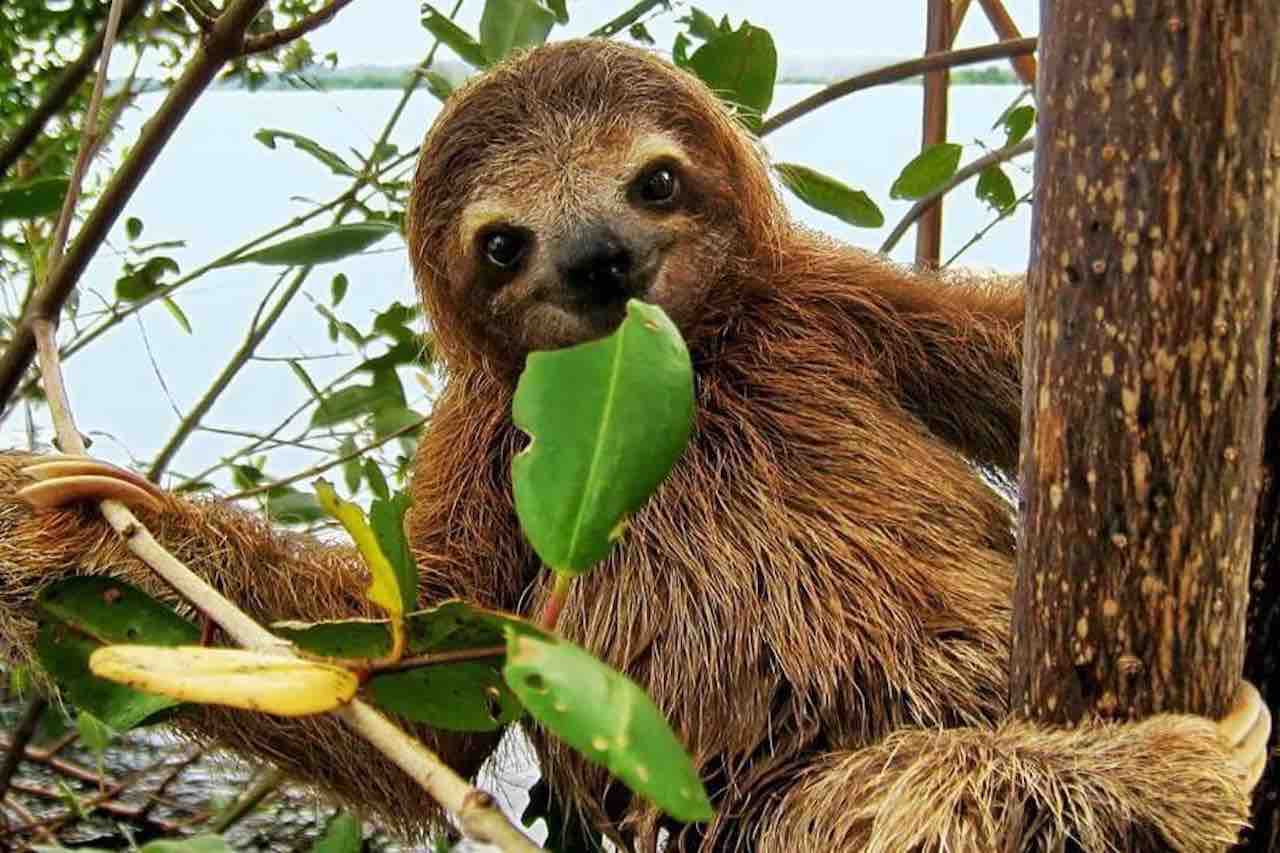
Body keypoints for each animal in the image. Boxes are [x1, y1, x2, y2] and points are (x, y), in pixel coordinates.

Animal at [0, 38, 1270, 852]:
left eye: (654, 181)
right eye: (503, 244)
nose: (596, 256)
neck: (681, 368)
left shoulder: (836, 304)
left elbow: (1010, 360)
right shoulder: (485, 431)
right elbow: (408, 677)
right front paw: (67, 523)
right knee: (894, 806)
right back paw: (1147, 776)